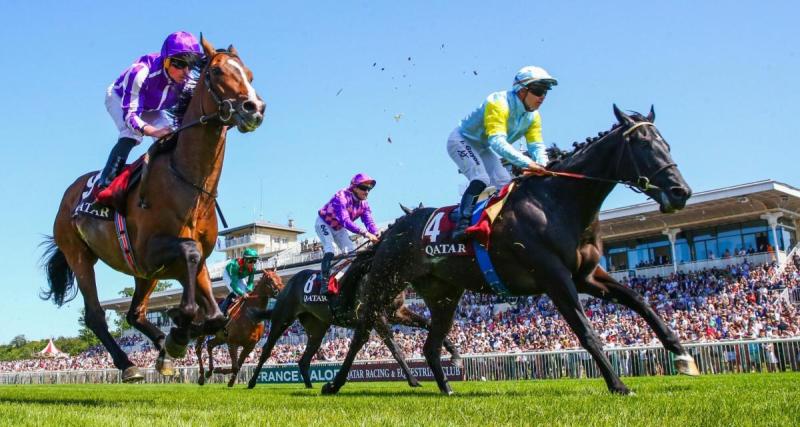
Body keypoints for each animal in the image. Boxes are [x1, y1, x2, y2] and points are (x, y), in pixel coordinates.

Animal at [41, 36, 266, 382]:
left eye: (250, 74)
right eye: (216, 71)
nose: (253, 108)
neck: (188, 181)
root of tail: (69, 194)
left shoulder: (190, 259)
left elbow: (216, 315)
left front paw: (178, 334)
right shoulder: (151, 250)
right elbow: (189, 259)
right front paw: (180, 326)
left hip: (142, 273)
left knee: (135, 313)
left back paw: (162, 349)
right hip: (79, 254)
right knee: (95, 315)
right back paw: (129, 363)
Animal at [248, 249, 462, 390]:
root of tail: (289, 282)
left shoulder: (397, 312)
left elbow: (428, 324)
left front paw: (454, 355)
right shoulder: (377, 316)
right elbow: (394, 347)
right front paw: (413, 380)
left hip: (317, 329)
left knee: (304, 359)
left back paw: (310, 386)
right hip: (282, 319)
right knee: (266, 350)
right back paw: (251, 382)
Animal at [318, 105, 692, 396]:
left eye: (667, 143)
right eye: (643, 145)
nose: (681, 192)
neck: (557, 203)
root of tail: (389, 232)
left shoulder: (586, 275)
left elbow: (639, 300)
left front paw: (681, 353)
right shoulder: (555, 278)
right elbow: (586, 330)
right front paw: (618, 384)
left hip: (443, 294)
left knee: (429, 344)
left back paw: (447, 388)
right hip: (385, 282)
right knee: (362, 332)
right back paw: (333, 384)